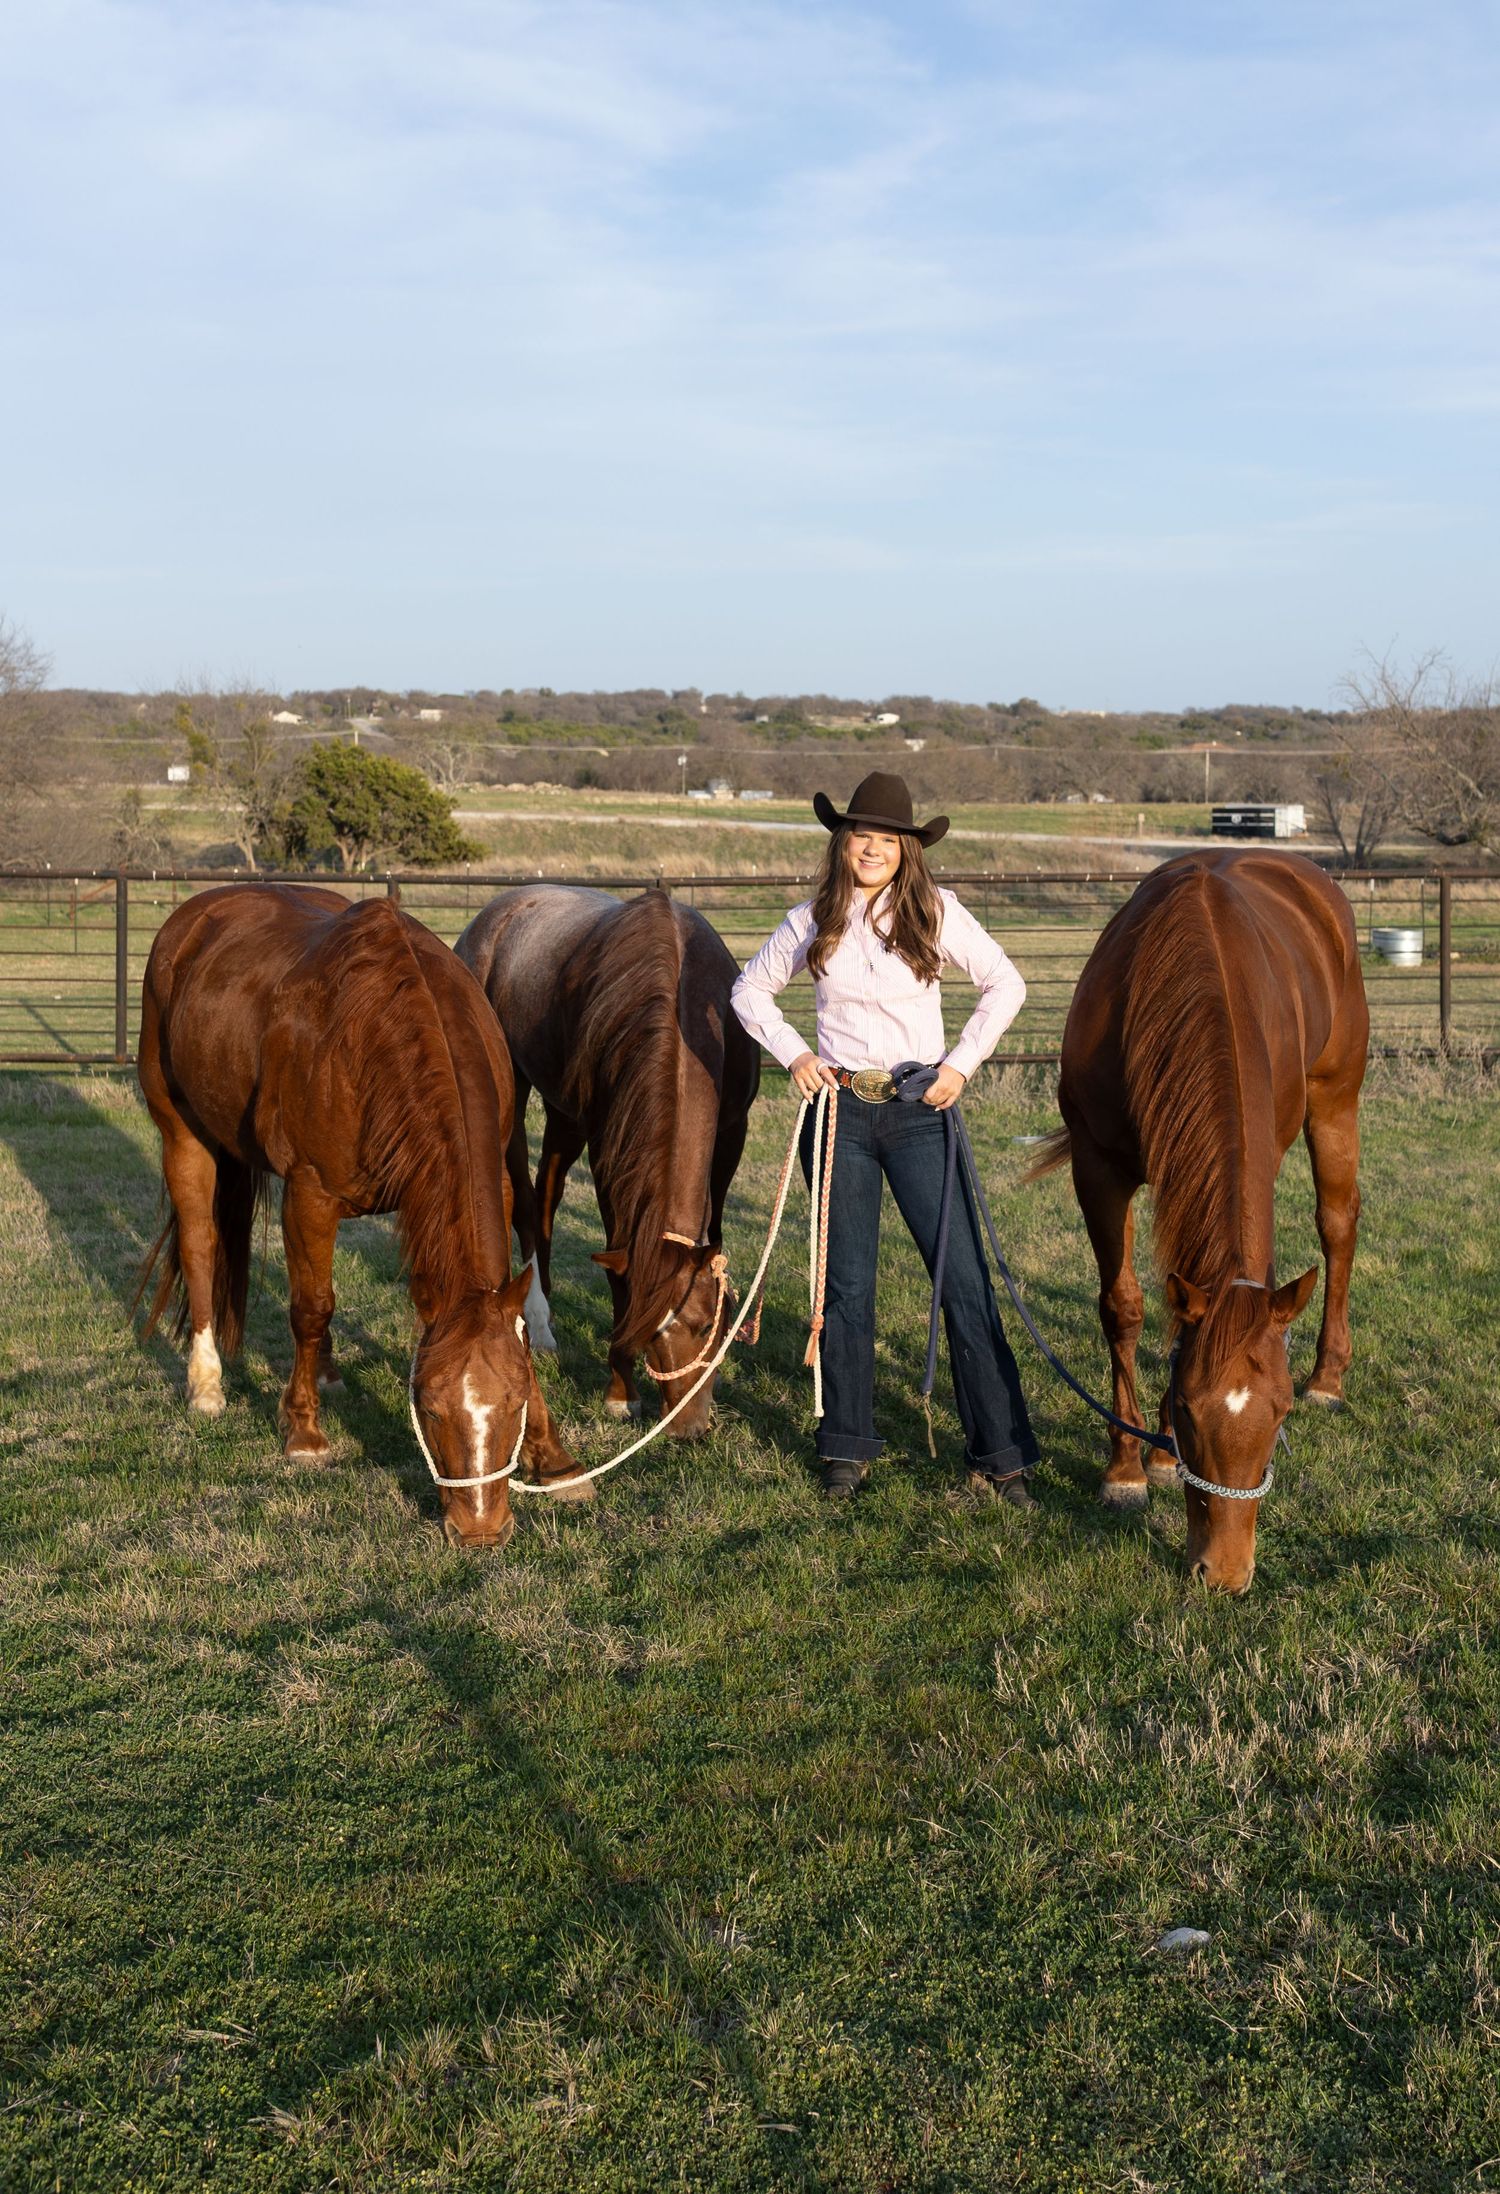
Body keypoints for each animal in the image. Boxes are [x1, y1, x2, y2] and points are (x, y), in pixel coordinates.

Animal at [135, 884, 582, 1548]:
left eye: (513, 1401)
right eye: (429, 1407)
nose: (479, 1530)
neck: (383, 1030)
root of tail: (189, 921)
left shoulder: (497, 1186)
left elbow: (515, 1320)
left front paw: (555, 1459)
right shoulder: (309, 1195)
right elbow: (310, 1308)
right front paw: (303, 1434)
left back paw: (324, 1374)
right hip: (182, 1135)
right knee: (198, 1247)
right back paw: (207, 1384)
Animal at [455, 886, 761, 1435]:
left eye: (707, 1324)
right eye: (647, 1331)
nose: (685, 1427)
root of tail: (488, 919)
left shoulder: (732, 1134)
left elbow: (717, 1231)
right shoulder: (610, 1150)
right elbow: (621, 1265)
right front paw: (621, 1391)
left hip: (563, 1113)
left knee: (547, 1194)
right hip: (511, 1094)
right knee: (526, 1204)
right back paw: (539, 1324)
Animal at [1034, 849, 1368, 1594]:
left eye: (1279, 1411)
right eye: (1187, 1410)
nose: (1225, 1572)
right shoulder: (1099, 1170)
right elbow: (1128, 1308)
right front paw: (1130, 1467)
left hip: (1336, 1099)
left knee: (1337, 1225)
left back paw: (1330, 1378)